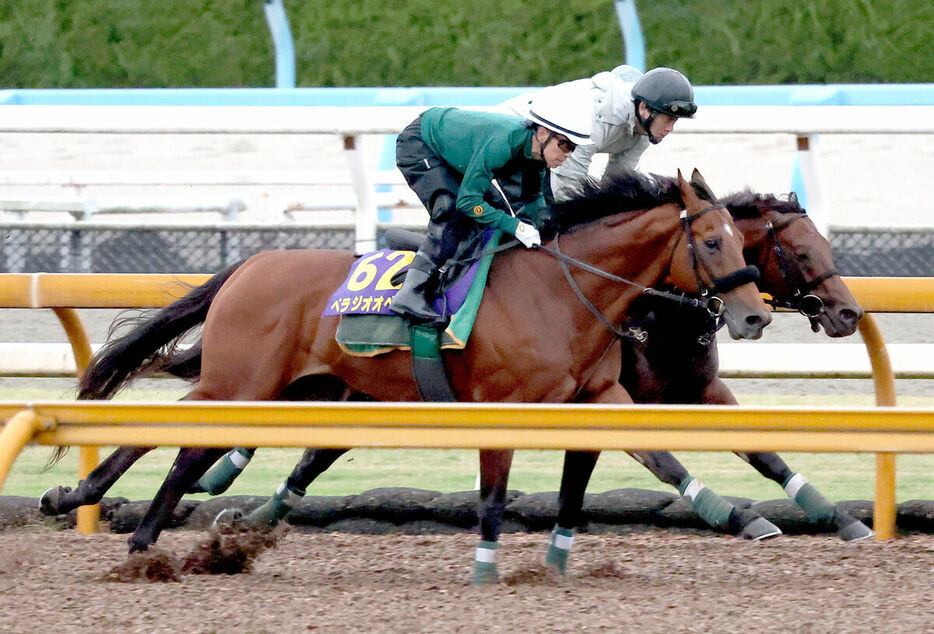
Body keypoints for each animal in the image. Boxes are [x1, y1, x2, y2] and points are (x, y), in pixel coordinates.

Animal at [40, 167, 772, 576]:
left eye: (744, 241)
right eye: (713, 241)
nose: (754, 316)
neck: (562, 289)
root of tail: (250, 264)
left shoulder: (594, 397)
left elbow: (640, 456)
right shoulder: (500, 406)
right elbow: (492, 494)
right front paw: (487, 569)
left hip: (283, 387)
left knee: (185, 442)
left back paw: (118, 520)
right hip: (244, 383)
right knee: (177, 435)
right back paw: (113, 519)